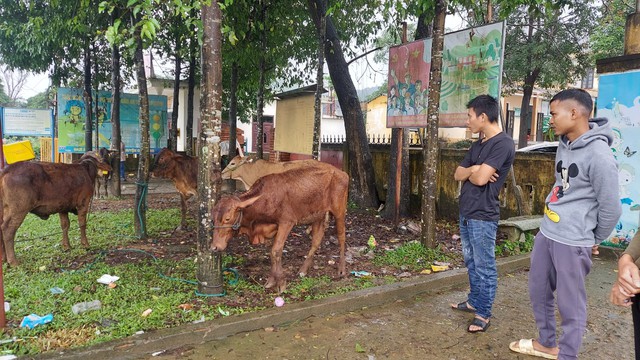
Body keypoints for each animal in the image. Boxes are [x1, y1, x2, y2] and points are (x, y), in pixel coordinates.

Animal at [211, 165, 350, 292]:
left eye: (227, 218)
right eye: (213, 218)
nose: (214, 247)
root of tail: (341, 172)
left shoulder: (286, 222)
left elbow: (276, 251)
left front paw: (281, 283)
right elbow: (272, 252)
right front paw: (272, 281)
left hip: (339, 211)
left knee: (341, 237)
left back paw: (341, 270)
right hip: (318, 216)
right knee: (316, 240)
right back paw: (303, 270)